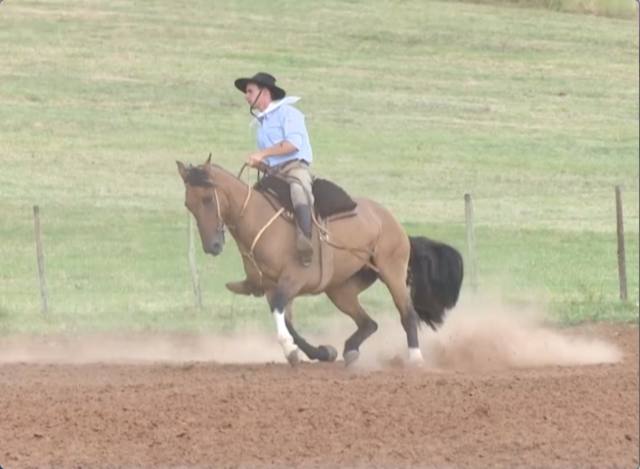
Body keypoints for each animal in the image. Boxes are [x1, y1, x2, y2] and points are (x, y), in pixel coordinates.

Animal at [178, 155, 462, 368]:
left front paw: (291, 350)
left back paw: (415, 358)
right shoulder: (271, 287)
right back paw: (350, 351)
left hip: (392, 272)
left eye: (207, 199)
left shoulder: (292, 280)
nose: (212, 246)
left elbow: (281, 313)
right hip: (340, 290)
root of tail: (394, 224)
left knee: (407, 313)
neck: (260, 220)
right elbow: (287, 321)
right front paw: (320, 352)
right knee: (369, 322)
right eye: (188, 204)